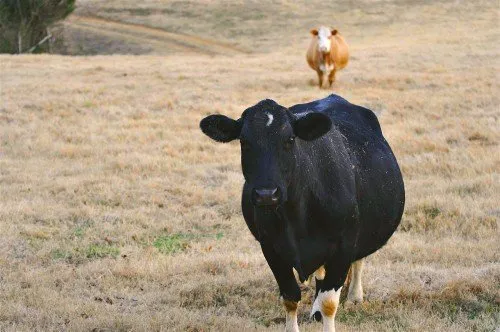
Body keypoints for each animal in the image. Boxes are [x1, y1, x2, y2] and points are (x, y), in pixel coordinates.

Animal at [197, 94, 404, 330]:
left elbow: (329, 303)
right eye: (244, 141)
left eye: (289, 140)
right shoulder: (271, 248)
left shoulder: (343, 247)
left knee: (358, 260)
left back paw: (354, 296)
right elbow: (290, 297)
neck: (297, 217)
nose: (266, 194)